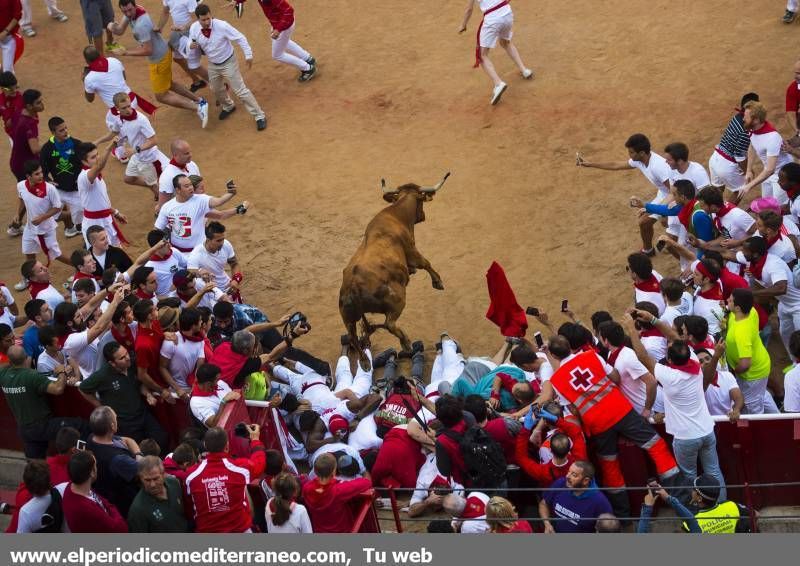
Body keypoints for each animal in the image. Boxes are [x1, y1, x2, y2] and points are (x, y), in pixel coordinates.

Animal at [338, 172, 450, 368]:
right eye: (422, 201)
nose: (423, 216)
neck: (396, 214)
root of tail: (353, 287)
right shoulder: (413, 251)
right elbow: (426, 263)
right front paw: (438, 281)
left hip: (348, 317)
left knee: (353, 336)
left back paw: (365, 358)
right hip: (398, 300)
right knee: (389, 323)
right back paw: (405, 342)